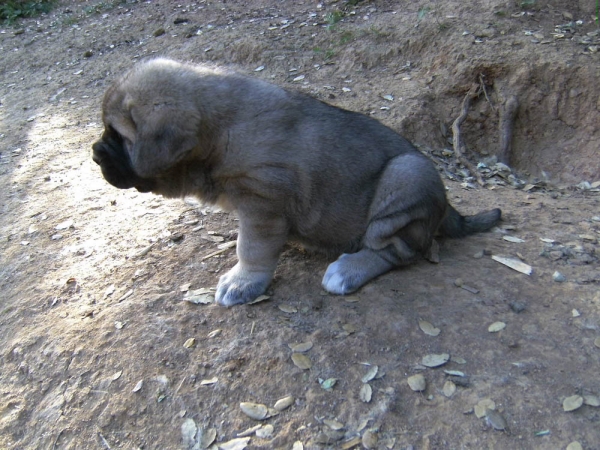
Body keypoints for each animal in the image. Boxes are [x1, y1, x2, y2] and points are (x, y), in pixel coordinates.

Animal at [91, 58, 500, 306]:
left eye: (119, 137)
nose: (95, 154)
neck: (218, 134)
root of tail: (449, 207)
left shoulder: (262, 201)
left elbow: (252, 248)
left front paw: (243, 282)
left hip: (406, 177)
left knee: (396, 251)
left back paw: (347, 270)